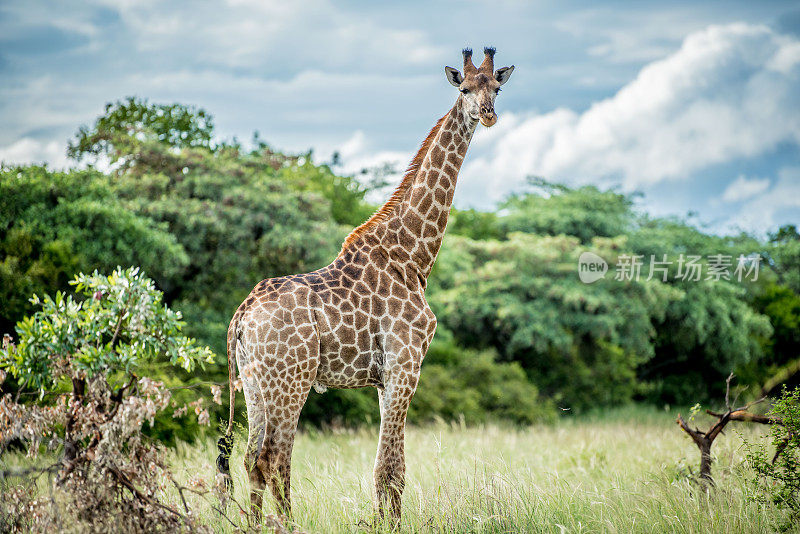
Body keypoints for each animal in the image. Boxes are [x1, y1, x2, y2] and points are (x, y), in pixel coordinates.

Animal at [216, 46, 512, 524]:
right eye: (465, 88)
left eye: (497, 88)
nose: (487, 114)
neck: (413, 256)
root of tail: (241, 315)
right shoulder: (405, 365)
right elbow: (390, 469)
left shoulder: (382, 377)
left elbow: (388, 470)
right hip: (290, 379)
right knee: (271, 458)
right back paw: (286, 526)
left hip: (254, 382)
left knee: (250, 458)